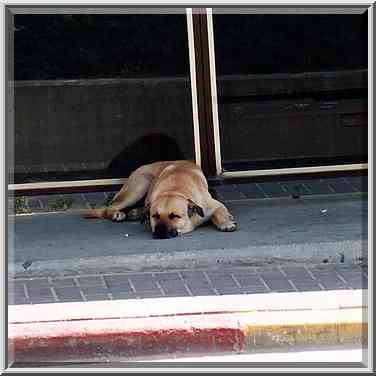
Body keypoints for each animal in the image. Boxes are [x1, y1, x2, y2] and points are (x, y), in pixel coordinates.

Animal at [83, 161, 236, 238]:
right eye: (155, 216)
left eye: (174, 216)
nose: (160, 231)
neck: (175, 189)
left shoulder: (214, 205)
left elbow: (219, 213)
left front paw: (225, 223)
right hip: (139, 186)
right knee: (110, 207)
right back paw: (117, 214)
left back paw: (135, 213)